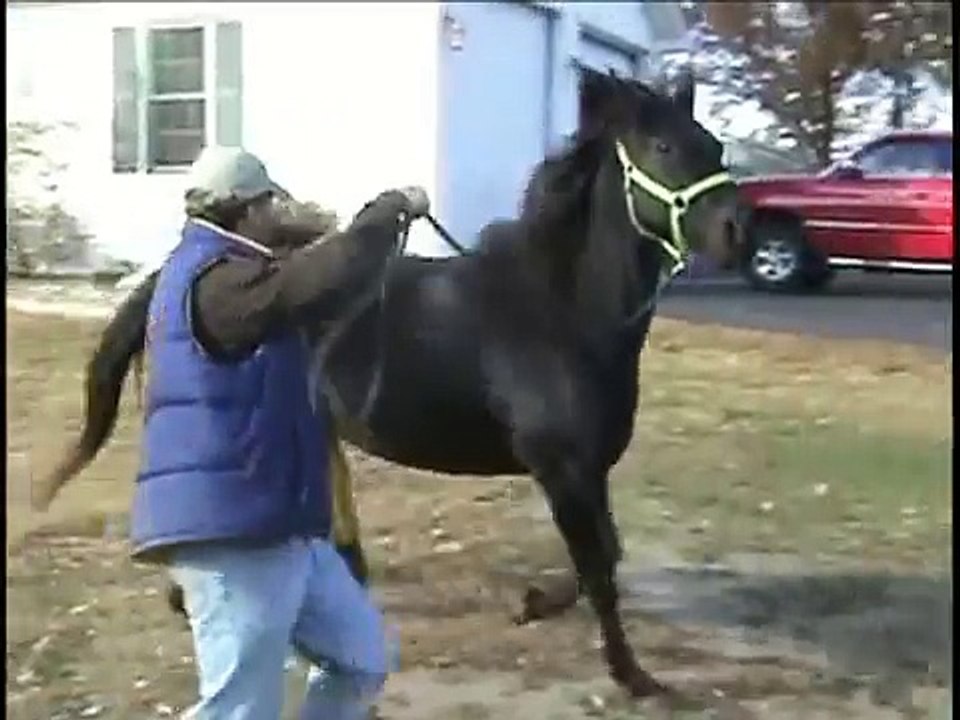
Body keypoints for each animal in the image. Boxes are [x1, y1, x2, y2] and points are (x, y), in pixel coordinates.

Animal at [38, 70, 743, 697]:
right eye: (664, 148)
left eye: (714, 145)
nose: (740, 231)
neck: (559, 313)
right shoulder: (562, 466)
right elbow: (598, 566)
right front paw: (632, 675)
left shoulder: (586, 469)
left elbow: (607, 554)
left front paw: (535, 601)